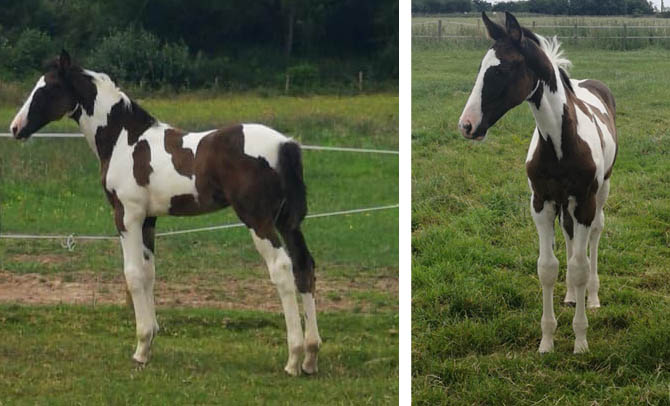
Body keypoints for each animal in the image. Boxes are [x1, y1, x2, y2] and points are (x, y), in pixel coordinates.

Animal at [9, 50, 324, 374]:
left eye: (47, 88)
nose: (15, 128)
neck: (124, 140)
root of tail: (285, 144)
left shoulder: (127, 215)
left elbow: (133, 274)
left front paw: (140, 348)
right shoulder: (149, 219)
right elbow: (149, 273)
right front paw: (150, 342)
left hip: (258, 220)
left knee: (282, 269)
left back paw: (293, 358)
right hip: (287, 222)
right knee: (304, 266)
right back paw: (311, 356)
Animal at [456, 12, 620, 354]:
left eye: (502, 69)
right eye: (480, 67)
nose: (466, 125)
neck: (560, 143)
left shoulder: (584, 202)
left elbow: (580, 267)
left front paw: (580, 341)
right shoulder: (541, 203)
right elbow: (547, 268)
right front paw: (546, 342)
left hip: (601, 192)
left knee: (595, 235)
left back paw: (592, 297)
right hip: (564, 203)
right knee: (569, 236)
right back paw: (570, 296)